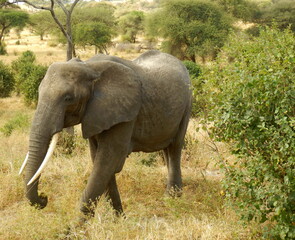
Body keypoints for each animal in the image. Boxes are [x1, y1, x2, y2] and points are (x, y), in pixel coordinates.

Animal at [19, 50, 193, 218]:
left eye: (68, 98)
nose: (44, 197)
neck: (89, 67)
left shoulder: (125, 114)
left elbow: (106, 160)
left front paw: (75, 227)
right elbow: (99, 160)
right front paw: (119, 219)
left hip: (187, 103)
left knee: (175, 147)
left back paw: (172, 198)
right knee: (166, 148)